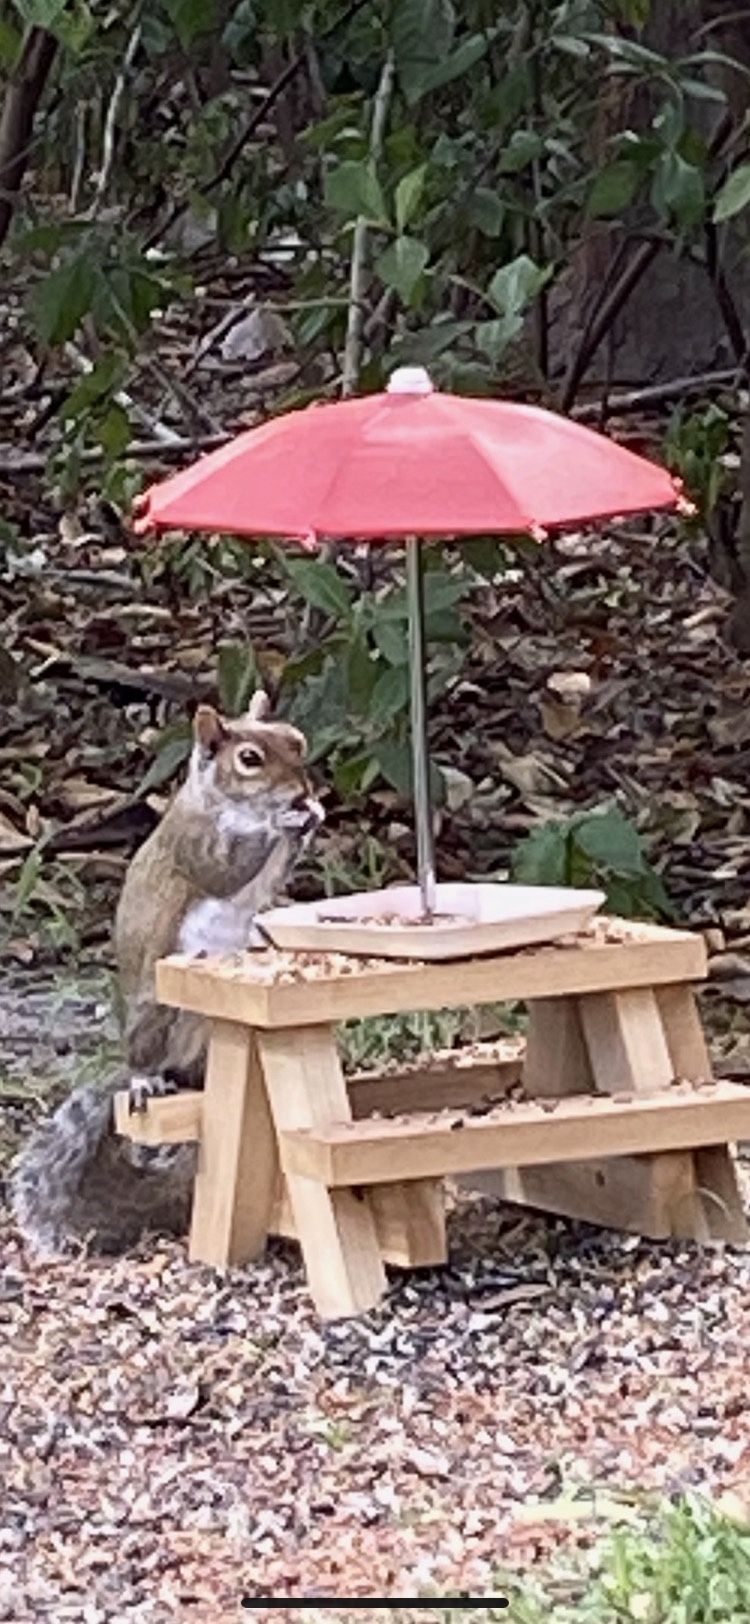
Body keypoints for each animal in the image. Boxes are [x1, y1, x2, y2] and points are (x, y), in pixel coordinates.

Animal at [11, 689, 324, 1257]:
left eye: (296, 740)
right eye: (249, 759)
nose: (301, 791)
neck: (227, 805)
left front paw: (311, 817)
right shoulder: (195, 845)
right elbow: (227, 868)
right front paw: (286, 823)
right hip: (157, 1010)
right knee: (146, 1057)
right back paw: (145, 1080)